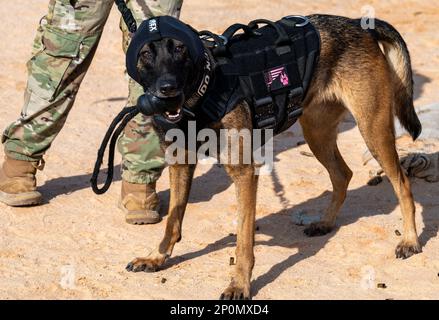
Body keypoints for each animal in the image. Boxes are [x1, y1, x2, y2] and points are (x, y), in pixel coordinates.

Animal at [124, 14, 422, 300]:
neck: (204, 90)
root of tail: (357, 24)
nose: (168, 89)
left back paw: (410, 240)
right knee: (342, 174)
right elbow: (172, 221)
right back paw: (326, 223)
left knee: (403, 183)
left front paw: (240, 284)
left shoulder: (244, 173)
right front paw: (156, 257)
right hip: (317, 133)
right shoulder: (180, 164)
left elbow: (243, 242)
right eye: (146, 54)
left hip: (373, 131)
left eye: (180, 50)